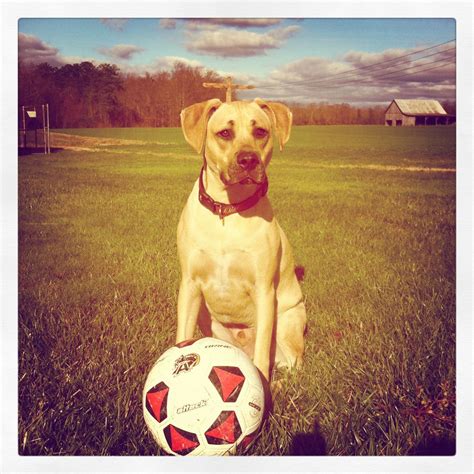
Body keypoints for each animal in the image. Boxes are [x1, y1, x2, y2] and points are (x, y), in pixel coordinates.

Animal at [176, 97, 306, 382]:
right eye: (225, 133)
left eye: (261, 132)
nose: (248, 159)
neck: (228, 210)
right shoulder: (190, 286)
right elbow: (182, 337)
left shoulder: (264, 290)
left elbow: (261, 357)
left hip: (289, 321)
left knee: (291, 366)